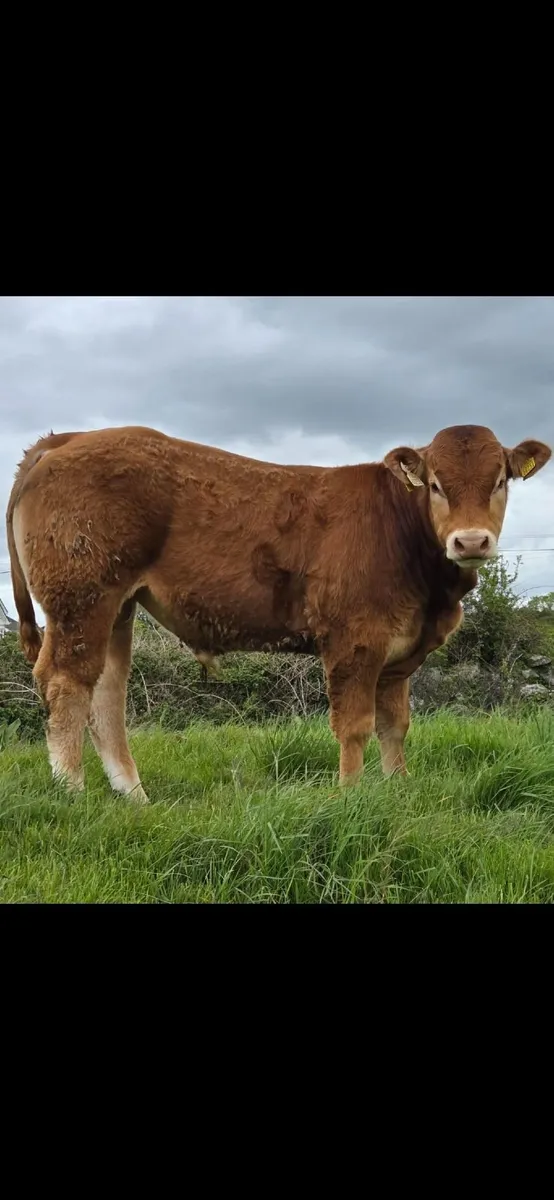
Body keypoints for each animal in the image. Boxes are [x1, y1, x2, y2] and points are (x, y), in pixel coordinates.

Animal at [6, 423, 551, 803]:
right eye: (435, 484)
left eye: (500, 481)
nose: (471, 541)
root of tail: (68, 439)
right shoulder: (354, 642)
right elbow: (354, 726)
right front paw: (351, 798)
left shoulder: (399, 654)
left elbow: (394, 726)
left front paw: (399, 790)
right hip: (82, 598)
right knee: (66, 682)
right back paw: (72, 790)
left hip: (117, 606)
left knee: (106, 693)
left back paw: (134, 795)